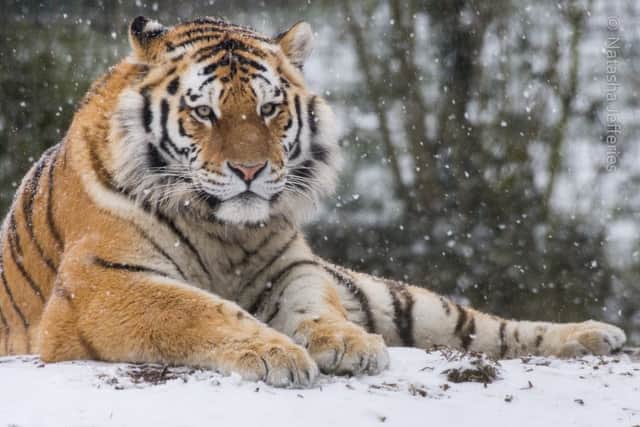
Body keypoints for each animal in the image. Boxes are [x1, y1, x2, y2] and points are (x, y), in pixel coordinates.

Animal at [0, 16, 626, 387]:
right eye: (204, 112)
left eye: (269, 108)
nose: (249, 170)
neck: (223, 230)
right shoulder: (103, 282)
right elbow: (197, 309)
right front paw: (273, 352)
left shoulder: (293, 266)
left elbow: (314, 306)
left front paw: (347, 342)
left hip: (397, 298)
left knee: (486, 327)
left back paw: (597, 335)